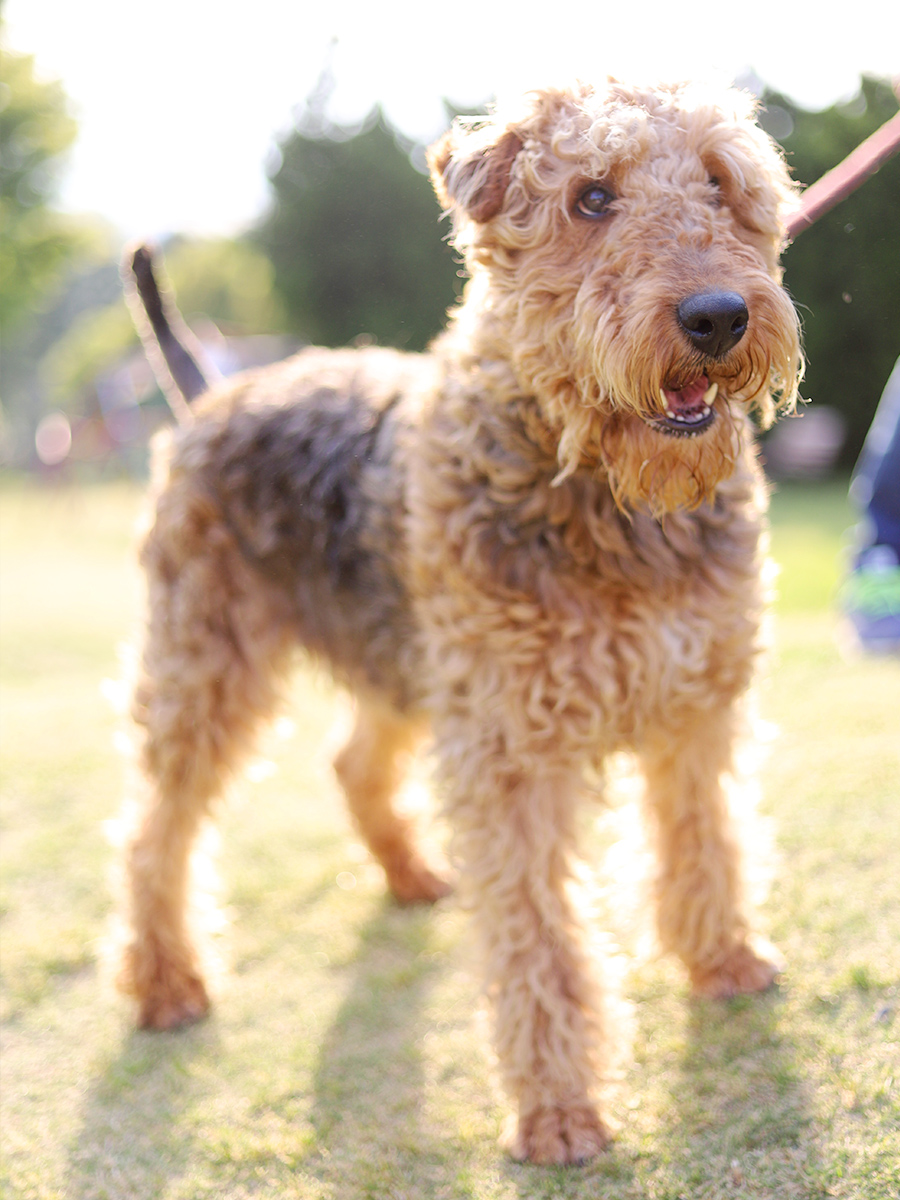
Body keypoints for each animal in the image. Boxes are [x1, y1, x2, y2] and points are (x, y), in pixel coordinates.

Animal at [120, 77, 801, 1161]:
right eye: (591, 196)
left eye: (721, 183)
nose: (718, 316)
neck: (600, 494)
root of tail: (214, 393)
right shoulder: (515, 753)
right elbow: (542, 943)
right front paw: (559, 1113)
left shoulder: (699, 702)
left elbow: (707, 844)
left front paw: (725, 959)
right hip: (206, 674)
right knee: (155, 835)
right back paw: (164, 984)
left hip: (408, 664)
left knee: (351, 764)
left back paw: (411, 876)